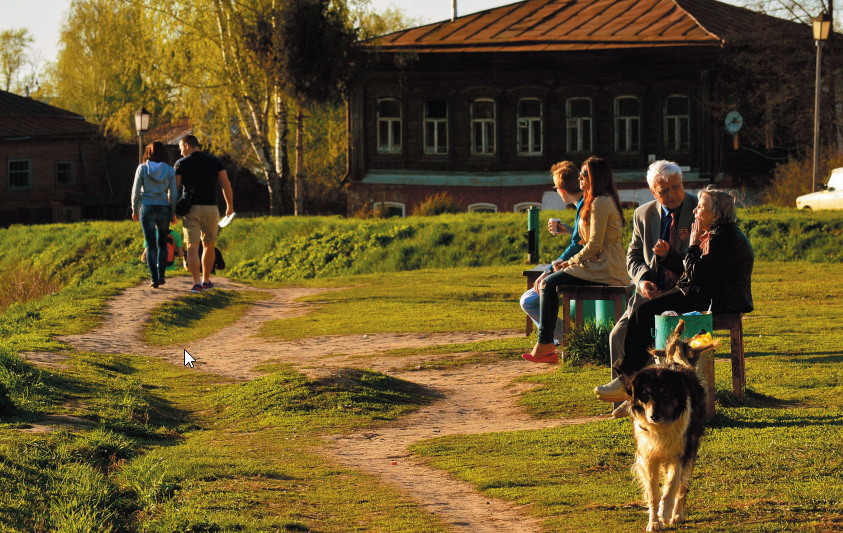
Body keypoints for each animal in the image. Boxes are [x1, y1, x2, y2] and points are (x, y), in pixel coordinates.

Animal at [620, 364, 704, 528]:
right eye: (645, 395)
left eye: (666, 393)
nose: (654, 416)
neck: (661, 427)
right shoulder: (648, 456)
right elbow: (653, 493)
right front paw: (654, 522)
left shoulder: (680, 455)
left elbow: (671, 486)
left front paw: (664, 513)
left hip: (691, 450)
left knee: (682, 487)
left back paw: (677, 514)